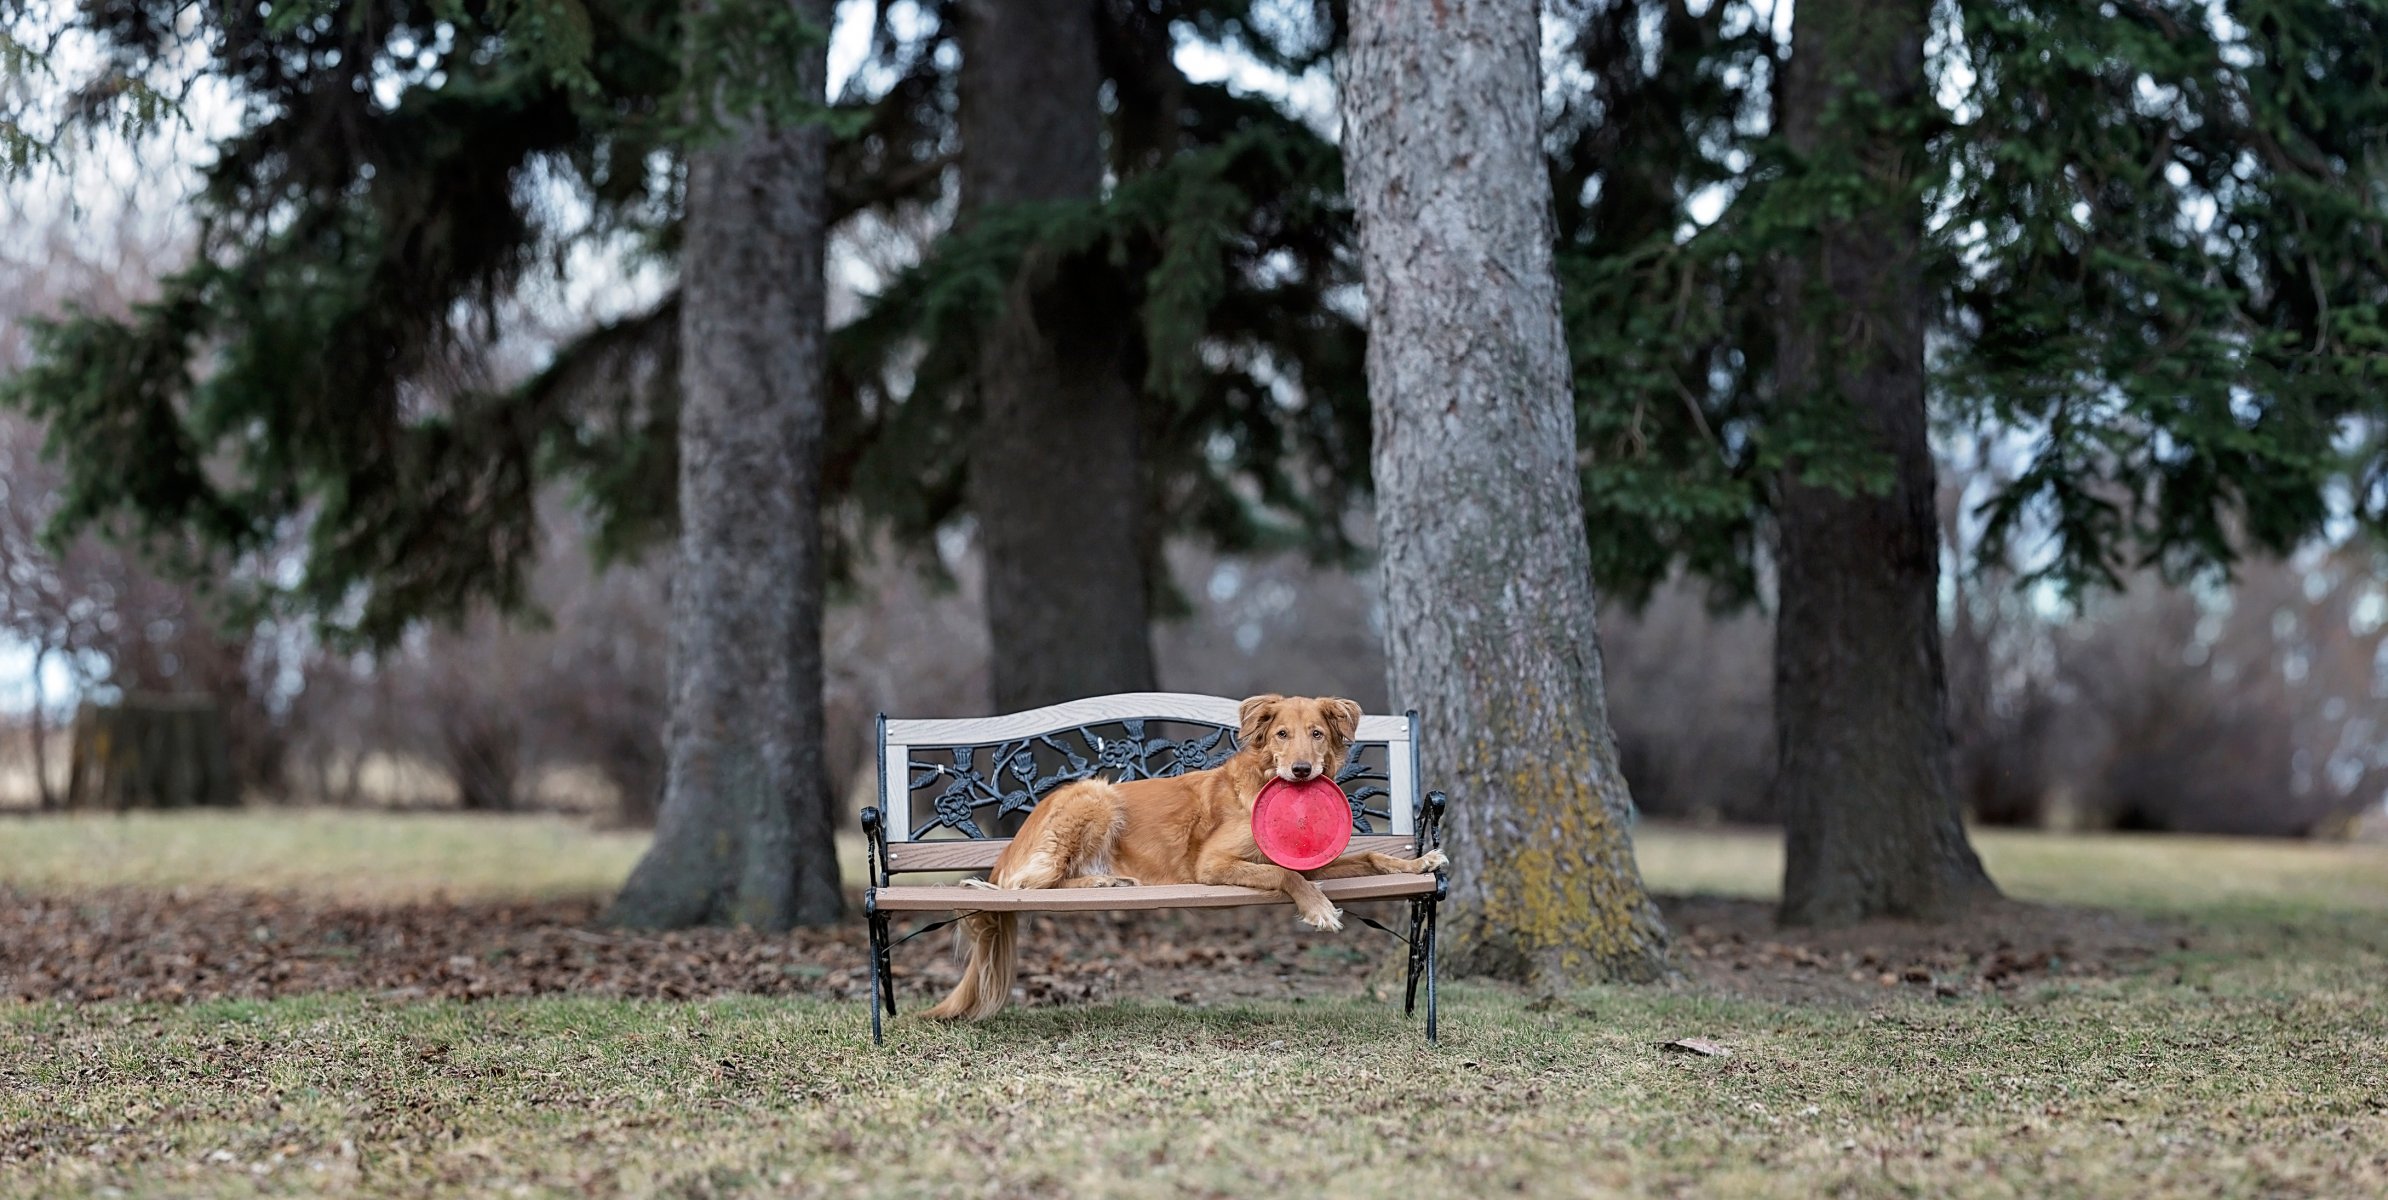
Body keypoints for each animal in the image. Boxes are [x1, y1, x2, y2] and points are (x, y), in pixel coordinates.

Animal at [921, 696, 1442, 1025]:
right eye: (1281, 734)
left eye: (1316, 734)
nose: (1301, 770)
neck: (1256, 782)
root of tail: (1010, 846)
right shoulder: (1211, 865)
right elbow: (1284, 873)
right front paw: (1318, 909)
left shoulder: (1318, 861)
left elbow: (1369, 853)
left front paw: (1418, 865)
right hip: (1096, 795)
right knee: (1026, 886)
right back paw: (1094, 884)